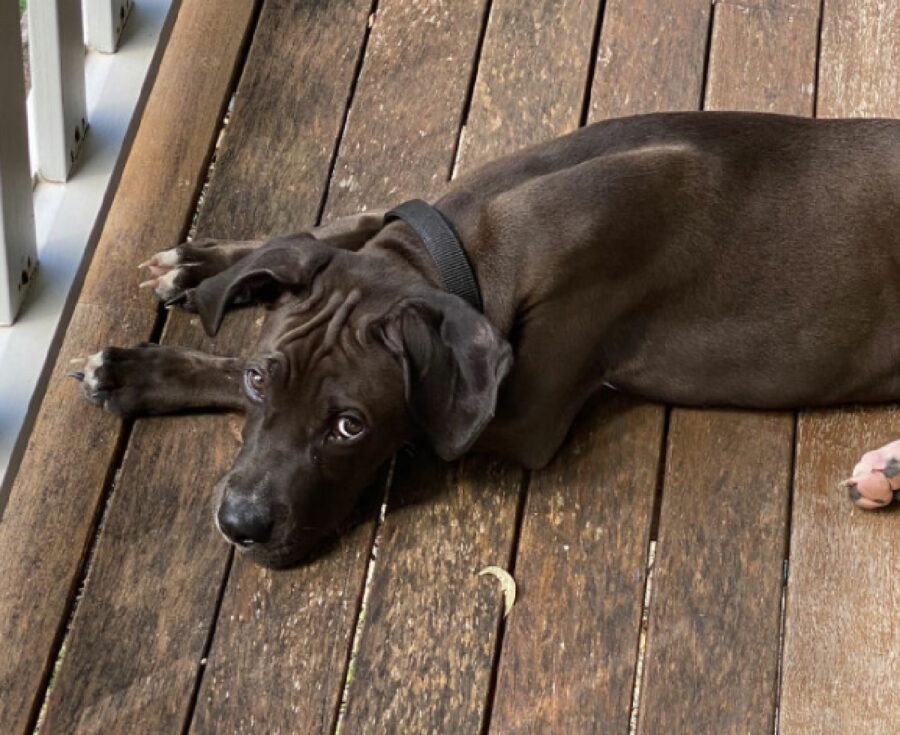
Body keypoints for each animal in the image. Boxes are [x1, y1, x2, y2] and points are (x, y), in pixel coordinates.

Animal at [72, 112, 900, 568]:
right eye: (258, 386)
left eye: (350, 426)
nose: (241, 524)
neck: (467, 241)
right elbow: (333, 227)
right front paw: (192, 284)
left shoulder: (527, 413)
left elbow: (423, 420)